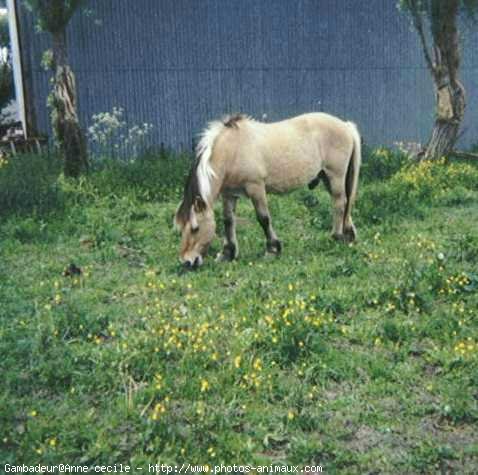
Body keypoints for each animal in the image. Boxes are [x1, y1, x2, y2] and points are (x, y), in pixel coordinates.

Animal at [176, 112, 362, 268]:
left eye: (195, 228)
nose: (187, 261)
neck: (233, 150)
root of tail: (346, 125)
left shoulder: (256, 187)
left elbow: (263, 218)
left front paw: (272, 250)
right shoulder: (229, 194)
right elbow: (228, 221)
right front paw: (227, 253)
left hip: (335, 176)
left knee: (339, 203)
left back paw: (336, 237)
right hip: (327, 178)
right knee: (345, 203)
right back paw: (348, 235)